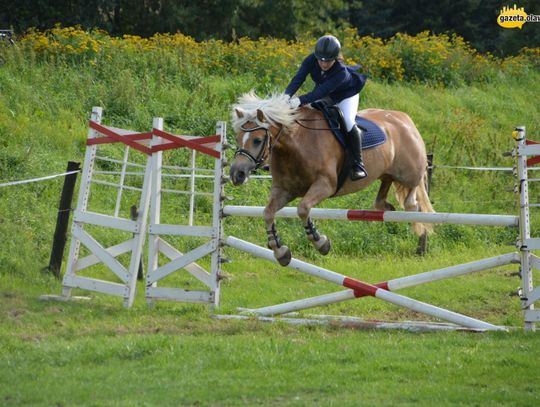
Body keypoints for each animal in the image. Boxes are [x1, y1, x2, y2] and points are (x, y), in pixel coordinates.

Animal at [229, 91, 434, 268]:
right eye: (238, 138)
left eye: (257, 140)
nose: (236, 174)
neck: (296, 144)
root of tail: (404, 119)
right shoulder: (284, 190)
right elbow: (268, 213)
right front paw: (281, 252)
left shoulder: (325, 185)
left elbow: (303, 209)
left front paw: (321, 243)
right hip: (386, 173)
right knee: (384, 192)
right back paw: (388, 210)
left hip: (410, 172)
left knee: (415, 198)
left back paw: (414, 224)